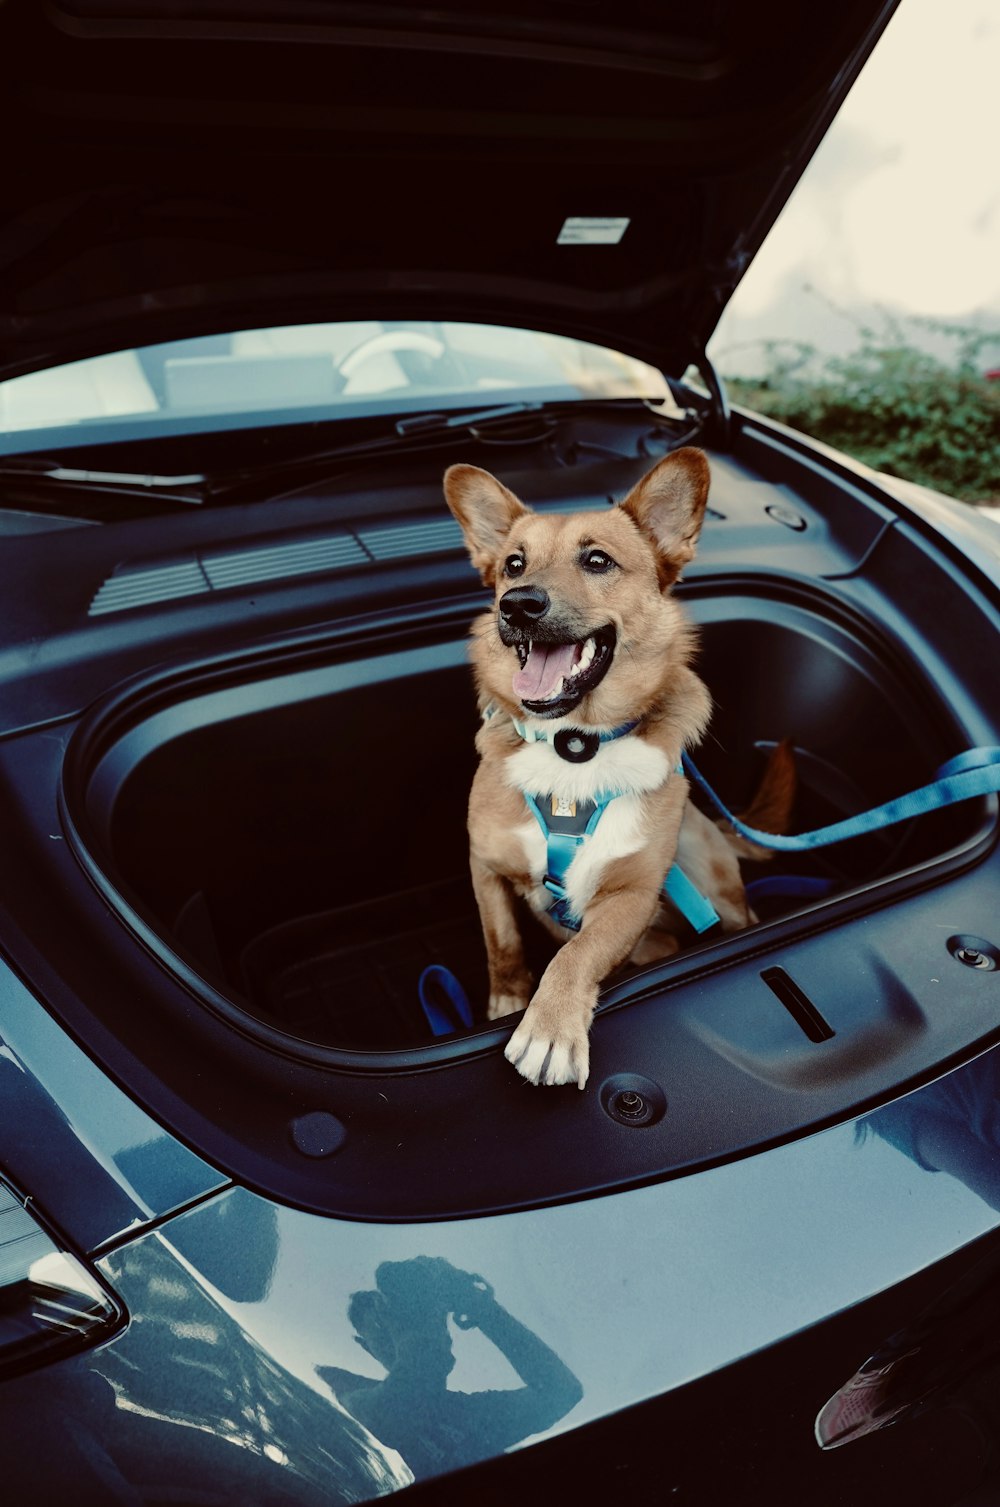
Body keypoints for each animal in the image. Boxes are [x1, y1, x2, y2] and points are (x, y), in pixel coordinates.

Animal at [442, 440, 795, 1091]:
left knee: (737, 912)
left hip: (702, 866)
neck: (573, 746)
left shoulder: (632, 895)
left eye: (598, 561)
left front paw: (549, 1027)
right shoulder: (486, 866)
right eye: (512, 564)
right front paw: (509, 1002)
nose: (517, 605)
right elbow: (502, 945)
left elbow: (576, 953)